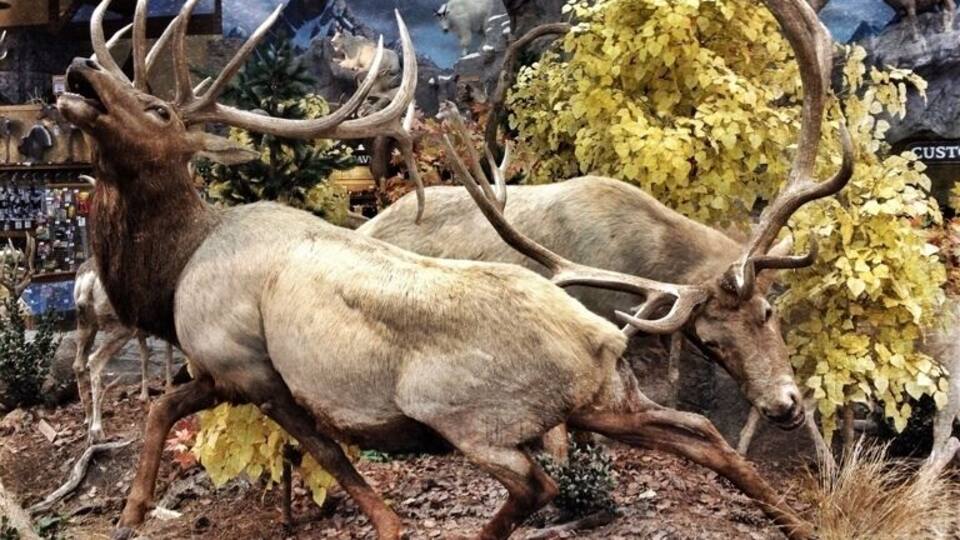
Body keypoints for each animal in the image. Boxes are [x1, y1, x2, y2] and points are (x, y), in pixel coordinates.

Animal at [73, 258, 175, 442]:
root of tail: (86, 281)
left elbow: (145, 355)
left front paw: (144, 396)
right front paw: (169, 389)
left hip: (86, 323)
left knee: (78, 365)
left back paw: (88, 419)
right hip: (122, 324)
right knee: (95, 360)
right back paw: (97, 429)